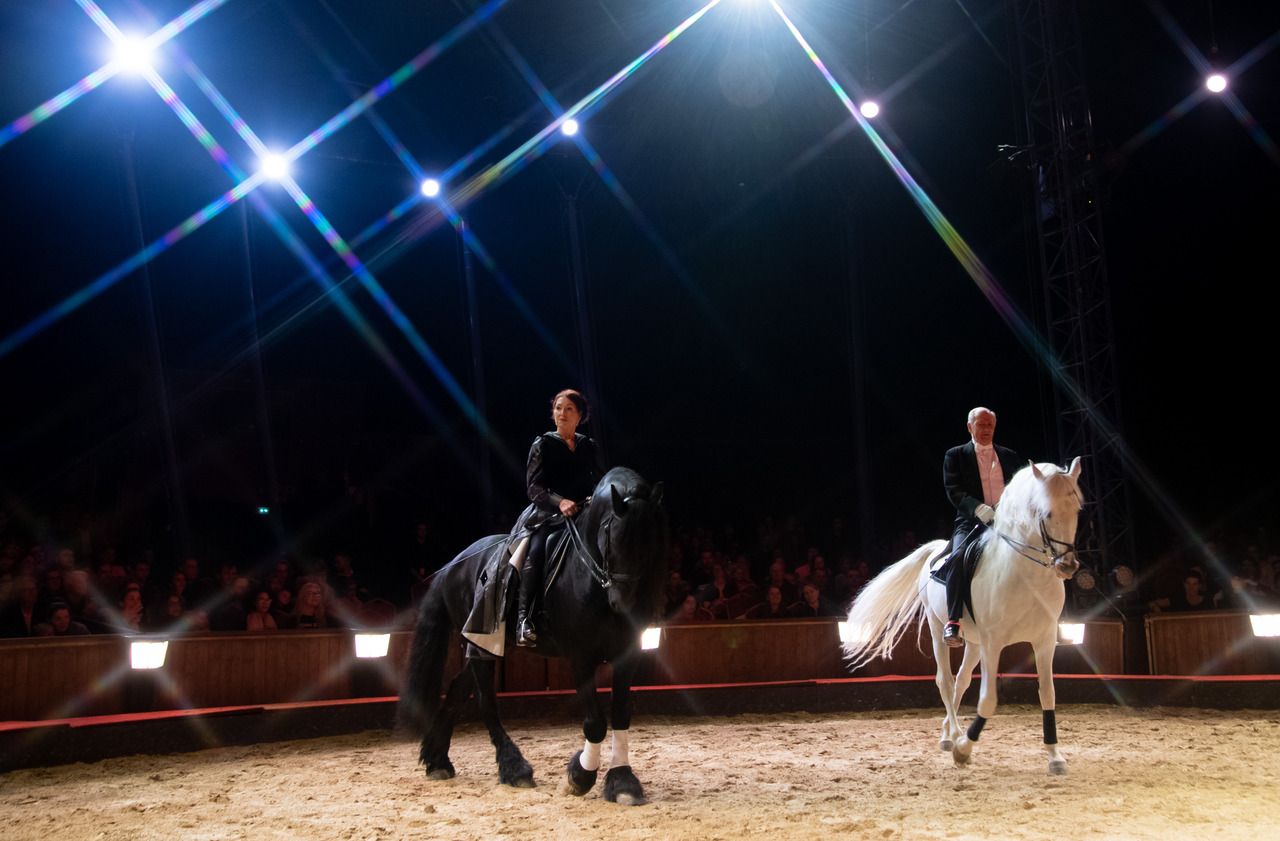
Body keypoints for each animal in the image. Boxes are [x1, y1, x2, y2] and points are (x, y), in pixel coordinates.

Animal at [399, 465, 665, 798]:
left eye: (651, 540)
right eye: (609, 534)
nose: (623, 605)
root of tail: (454, 563)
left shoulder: (627, 653)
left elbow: (620, 715)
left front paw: (622, 781)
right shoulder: (581, 656)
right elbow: (595, 722)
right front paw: (580, 776)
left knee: (458, 689)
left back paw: (438, 762)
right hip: (482, 642)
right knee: (486, 701)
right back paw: (514, 769)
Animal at [844, 458, 1085, 773]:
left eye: (1077, 510)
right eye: (1046, 513)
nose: (1067, 566)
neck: (1025, 575)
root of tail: (937, 548)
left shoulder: (1043, 640)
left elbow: (1047, 694)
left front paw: (1055, 756)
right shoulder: (994, 642)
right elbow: (987, 700)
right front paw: (964, 749)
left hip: (974, 642)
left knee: (960, 680)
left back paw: (948, 733)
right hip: (939, 629)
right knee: (945, 681)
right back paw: (954, 736)